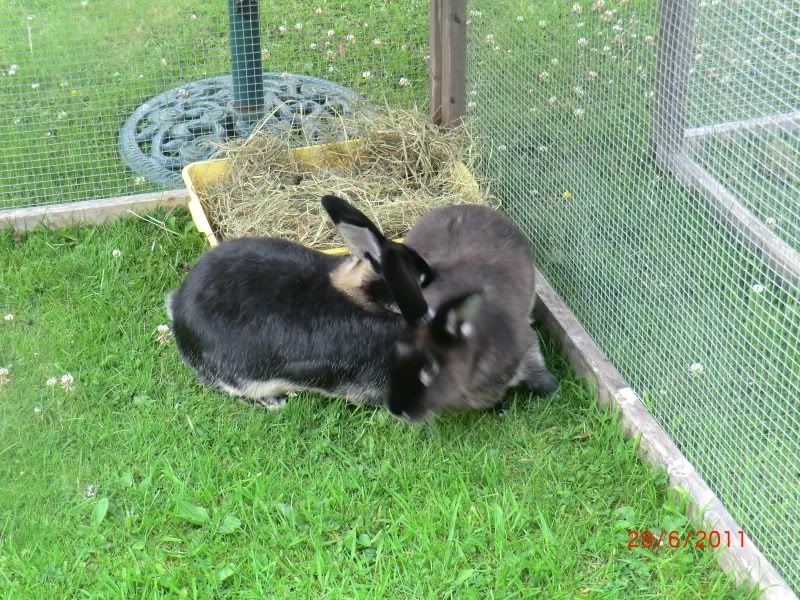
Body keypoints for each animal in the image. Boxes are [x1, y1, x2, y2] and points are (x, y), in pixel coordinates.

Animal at [380, 204, 556, 420]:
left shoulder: (527, 346)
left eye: (430, 370)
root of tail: (462, 206)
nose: (395, 410)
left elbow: (537, 373)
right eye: (394, 358)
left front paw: (553, 390)